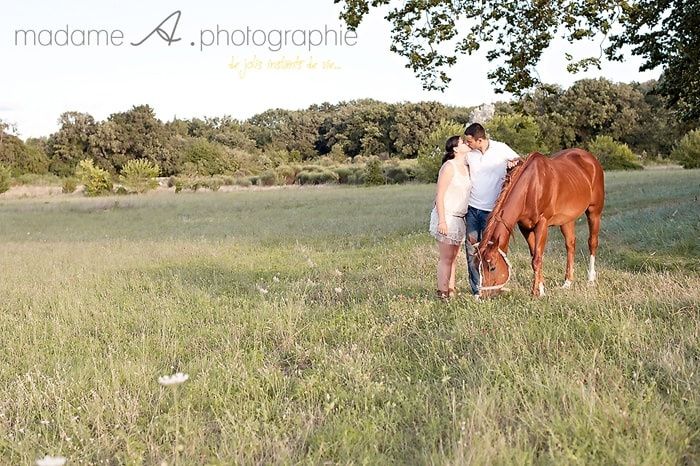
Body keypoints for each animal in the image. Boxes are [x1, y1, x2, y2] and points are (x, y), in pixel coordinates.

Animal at [476, 147, 608, 296]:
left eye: (492, 267)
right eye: (477, 266)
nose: (483, 295)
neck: (531, 187)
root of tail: (591, 159)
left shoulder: (542, 225)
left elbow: (537, 259)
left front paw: (537, 292)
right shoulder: (525, 228)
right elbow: (534, 255)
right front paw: (541, 287)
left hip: (594, 212)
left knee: (592, 242)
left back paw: (590, 279)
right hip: (567, 220)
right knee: (570, 245)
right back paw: (567, 282)